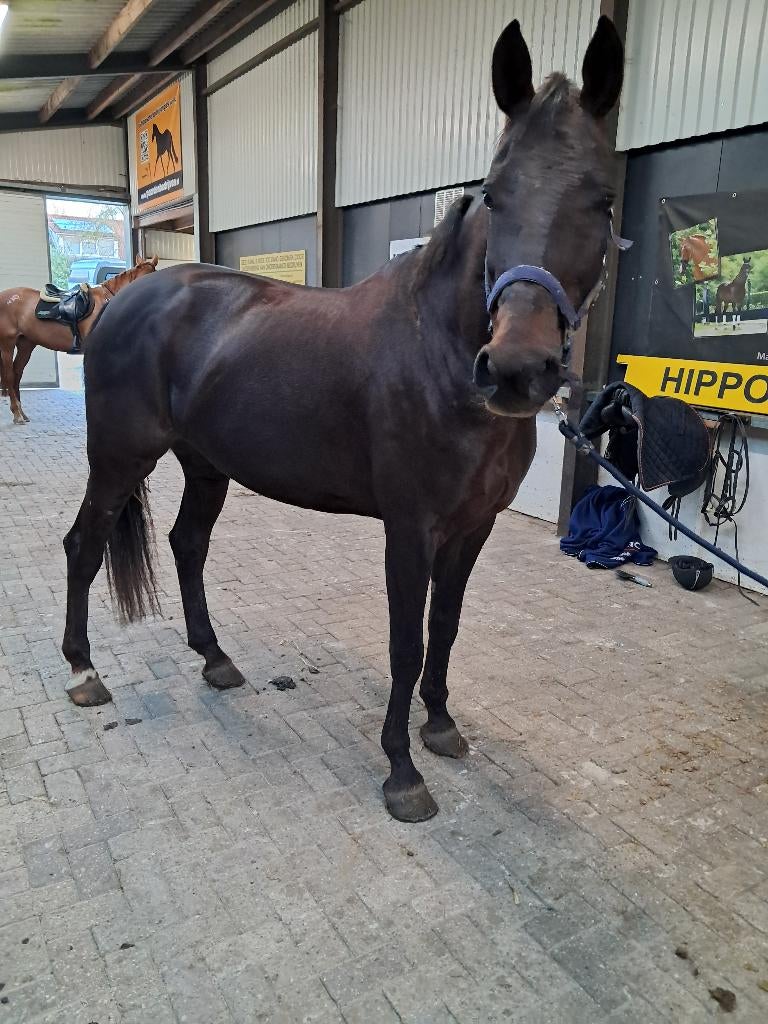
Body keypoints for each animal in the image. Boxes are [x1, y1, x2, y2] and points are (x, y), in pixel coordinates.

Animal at [0, 257, 158, 425]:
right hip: (7, 344)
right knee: (9, 376)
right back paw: (17, 414)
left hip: (26, 344)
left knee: (17, 373)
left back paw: (22, 413)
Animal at [61, 17, 625, 823]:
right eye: (493, 194)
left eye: (603, 199)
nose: (519, 368)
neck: (437, 350)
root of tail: (119, 299)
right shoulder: (410, 527)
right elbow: (404, 642)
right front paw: (401, 770)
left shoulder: (473, 526)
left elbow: (445, 627)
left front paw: (440, 726)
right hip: (117, 458)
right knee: (83, 546)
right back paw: (83, 672)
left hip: (205, 465)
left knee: (186, 545)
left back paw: (216, 658)